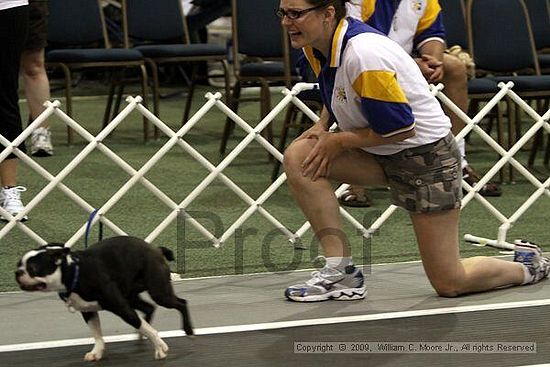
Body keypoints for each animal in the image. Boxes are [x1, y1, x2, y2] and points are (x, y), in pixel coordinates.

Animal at [15, 237, 194, 360]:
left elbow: (144, 326)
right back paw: (140, 337)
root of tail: (156, 249)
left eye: (33, 268)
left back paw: (188, 330)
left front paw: (159, 347)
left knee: (181, 303)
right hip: (130, 296)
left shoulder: (121, 307)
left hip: (159, 292)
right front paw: (96, 352)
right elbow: (96, 333)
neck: (74, 273)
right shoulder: (88, 311)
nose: (17, 272)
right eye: (18, 264)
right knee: (149, 308)